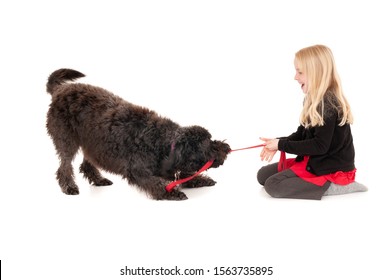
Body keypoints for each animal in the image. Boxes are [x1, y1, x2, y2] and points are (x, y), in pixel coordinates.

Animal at [46, 69, 231, 200]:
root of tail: (60, 89)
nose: (227, 147)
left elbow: (184, 175)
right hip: (67, 140)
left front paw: (200, 180)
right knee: (64, 166)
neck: (164, 143)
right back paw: (69, 187)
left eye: (210, 138)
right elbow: (156, 183)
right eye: (208, 144)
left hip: (92, 143)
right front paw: (171, 193)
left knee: (86, 164)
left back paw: (98, 179)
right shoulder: (136, 170)